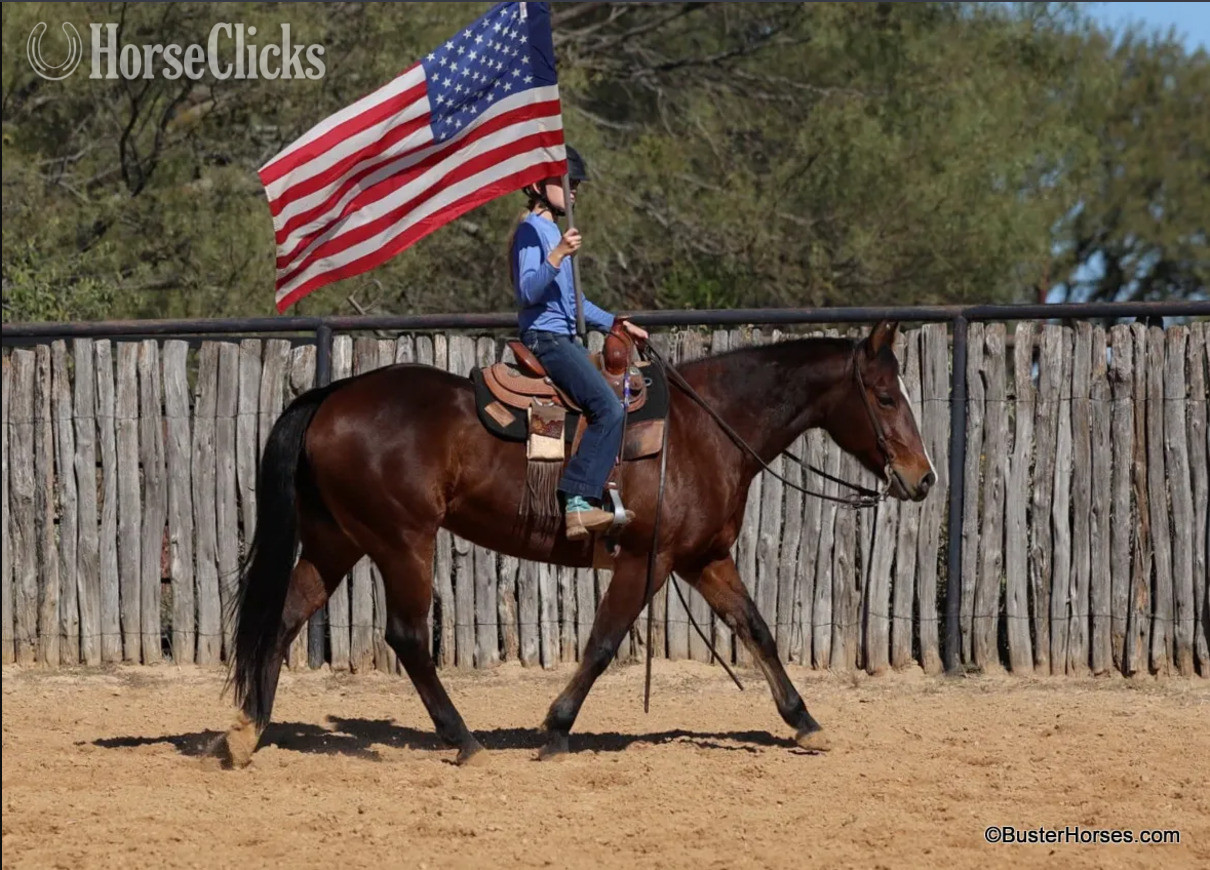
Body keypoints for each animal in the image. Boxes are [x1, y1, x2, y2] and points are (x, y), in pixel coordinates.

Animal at [223, 319, 936, 766]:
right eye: (883, 395)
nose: (922, 478)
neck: (706, 430)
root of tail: (331, 394)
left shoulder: (704, 558)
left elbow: (755, 628)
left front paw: (804, 722)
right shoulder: (648, 562)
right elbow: (603, 642)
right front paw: (556, 727)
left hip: (336, 542)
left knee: (283, 619)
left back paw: (245, 732)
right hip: (403, 541)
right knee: (406, 637)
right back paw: (463, 740)